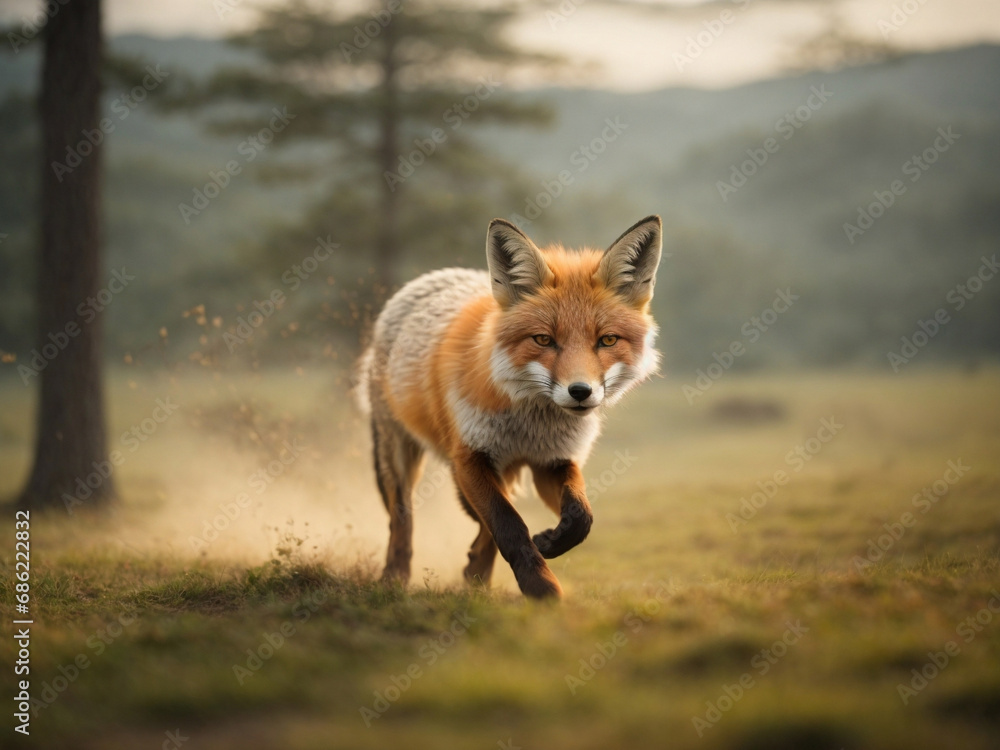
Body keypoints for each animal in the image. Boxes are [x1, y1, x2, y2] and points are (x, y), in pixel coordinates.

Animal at [356, 215, 662, 599]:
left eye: (607, 340)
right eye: (543, 339)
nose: (581, 392)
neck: (529, 427)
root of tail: (429, 277)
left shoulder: (553, 460)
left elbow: (581, 515)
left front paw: (550, 542)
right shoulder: (470, 456)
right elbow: (509, 523)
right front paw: (541, 588)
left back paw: (476, 574)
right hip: (399, 455)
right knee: (402, 520)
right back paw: (395, 576)